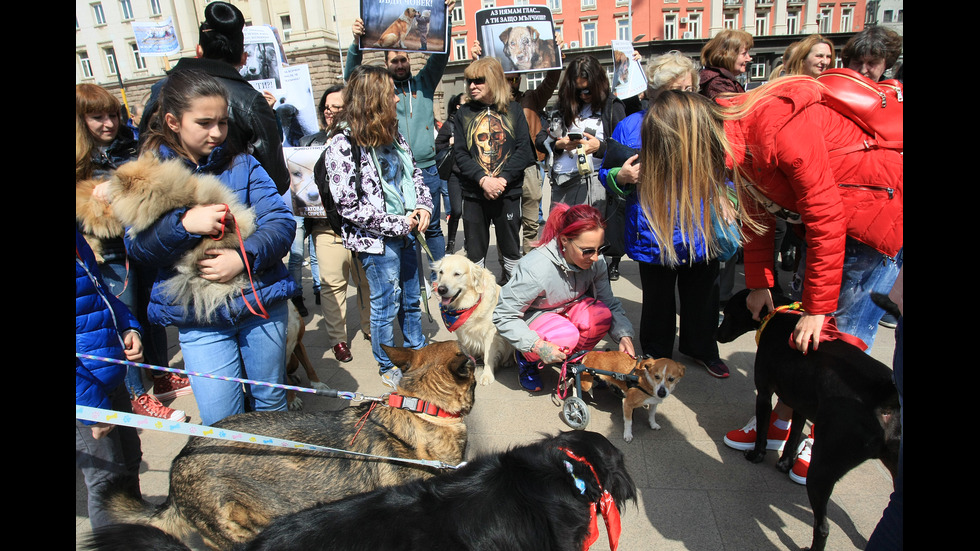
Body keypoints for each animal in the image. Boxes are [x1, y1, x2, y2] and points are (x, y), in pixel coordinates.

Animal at [716, 288, 900, 551]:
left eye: (729, 313)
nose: (717, 335)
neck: (779, 313)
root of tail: (885, 393)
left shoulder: (764, 392)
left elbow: (763, 430)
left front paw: (756, 455)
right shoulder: (799, 403)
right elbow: (793, 436)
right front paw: (784, 463)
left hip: (822, 469)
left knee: (823, 527)